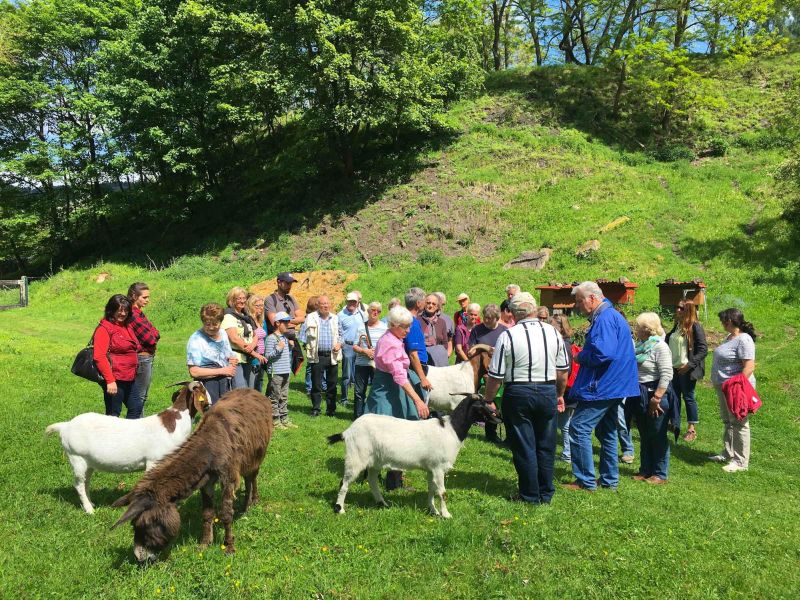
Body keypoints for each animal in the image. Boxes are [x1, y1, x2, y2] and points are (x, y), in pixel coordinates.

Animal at [45, 382, 209, 512]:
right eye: (203, 389)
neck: (174, 423)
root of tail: (65, 426)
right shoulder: (153, 461)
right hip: (76, 457)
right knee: (79, 484)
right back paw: (89, 510)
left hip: (88, 462)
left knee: (86, 482)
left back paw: (91, 503)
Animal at [111, 386, 276, 560]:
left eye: (145, 524)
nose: (139, 557)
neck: (210, 446)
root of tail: (252, 390)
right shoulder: (206, 481)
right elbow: (207, 513)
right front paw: (205, 543)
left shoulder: (228, 478)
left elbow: (225, 513)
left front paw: (229, 547)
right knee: (248, 477)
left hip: (257, 454)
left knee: (252, 477)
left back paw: (250, 503)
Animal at [328, 396, 496, 516]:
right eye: (481, 405)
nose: (497, 416)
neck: (451, 429)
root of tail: (348, 432)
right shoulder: (438, 467)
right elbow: (442, 492)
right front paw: (446, 514)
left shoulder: (431, 469)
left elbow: (431, 490)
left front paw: (433, 511)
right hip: (356, 457)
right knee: (344, 482)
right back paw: (340, 509)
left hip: (374, 460)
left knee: (372, 481)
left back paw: (382, 504)